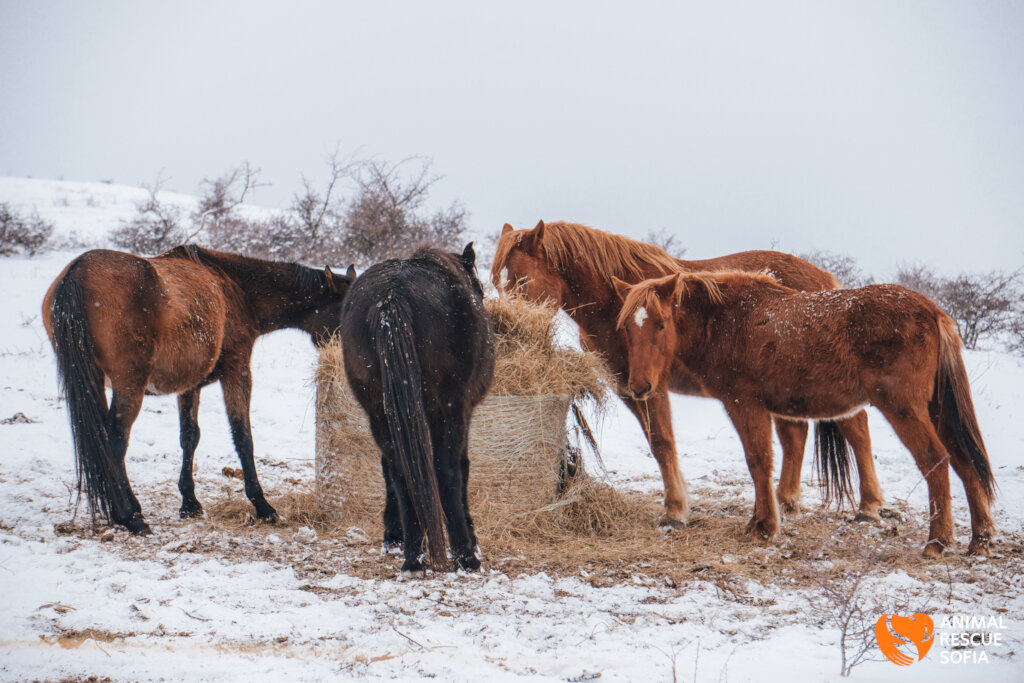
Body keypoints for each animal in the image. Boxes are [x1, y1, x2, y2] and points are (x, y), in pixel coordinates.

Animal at [42, 245, 355, 535]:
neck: (235, 288)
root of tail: (78, 273)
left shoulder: (189, 386)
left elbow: (189, 437)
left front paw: (190, 503)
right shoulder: (237, 372)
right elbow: (243, 437)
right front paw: (263, 506)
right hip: (129, 386)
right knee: (115, 441)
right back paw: (131, 516)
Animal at [340, 244, 495, 577]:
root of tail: (392, 298)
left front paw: (392, 535)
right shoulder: (462, 412)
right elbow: (461, 469)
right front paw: (472, 540)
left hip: (380, 411)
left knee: (400, 470)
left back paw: (413, 556)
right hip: (447, 410)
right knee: (447, 470)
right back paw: (465, 556)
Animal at [491, 220, 883, 527]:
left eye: (523, 281)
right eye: (496, 282)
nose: (503, 331)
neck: (617, 303)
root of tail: (824, 281)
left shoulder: (653, 384)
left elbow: (663, 441)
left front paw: (675, 511)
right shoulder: (628, 386)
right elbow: (655, 442)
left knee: (857, 429)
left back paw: (868, 506)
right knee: (795, 435)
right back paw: (786, 502)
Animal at [612, 271, 996, 557]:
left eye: (661, 324)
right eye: (627, 328)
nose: (640, 386)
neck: (728, 320)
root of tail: (932, 311)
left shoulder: (744, 403)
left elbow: (758, 461)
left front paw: (765, 527)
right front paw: (760, 522)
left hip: (905, 409)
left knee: (936, 460)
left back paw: (937, 542)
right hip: (936, 410)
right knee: (964, 462)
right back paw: (979, 539)